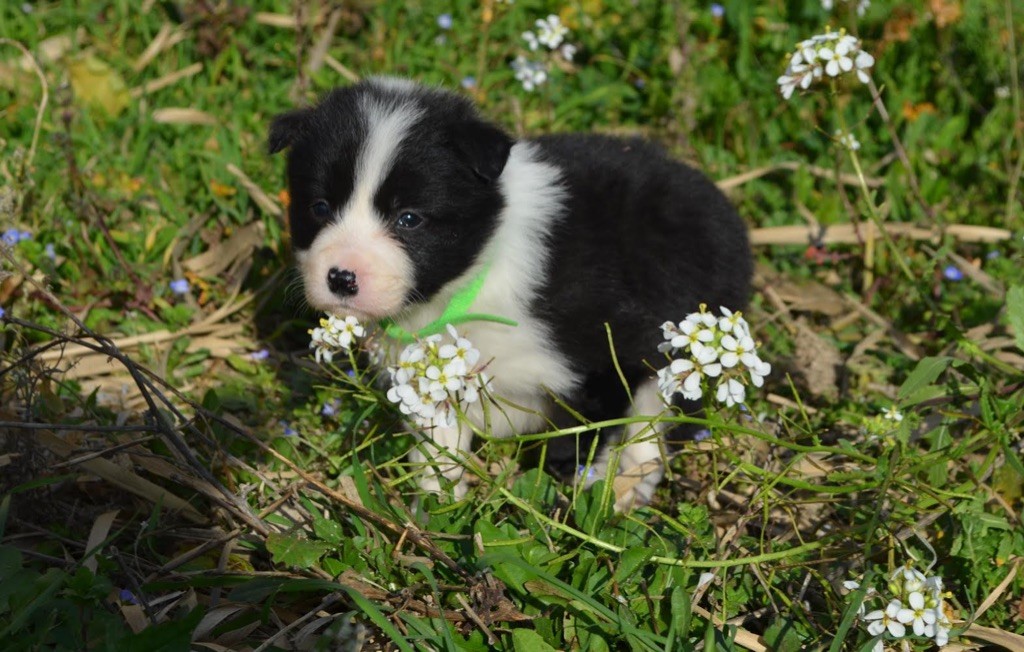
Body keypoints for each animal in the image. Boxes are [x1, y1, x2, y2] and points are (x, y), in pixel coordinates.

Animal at [269, 77, 751, 509]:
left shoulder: (606, 348)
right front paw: (436, 509)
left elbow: (584, 434)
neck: (469, 284)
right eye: (319, 208)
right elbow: (440, 445)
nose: (341, 278)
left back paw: (622, 490)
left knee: (658, 414)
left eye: (409, 218)